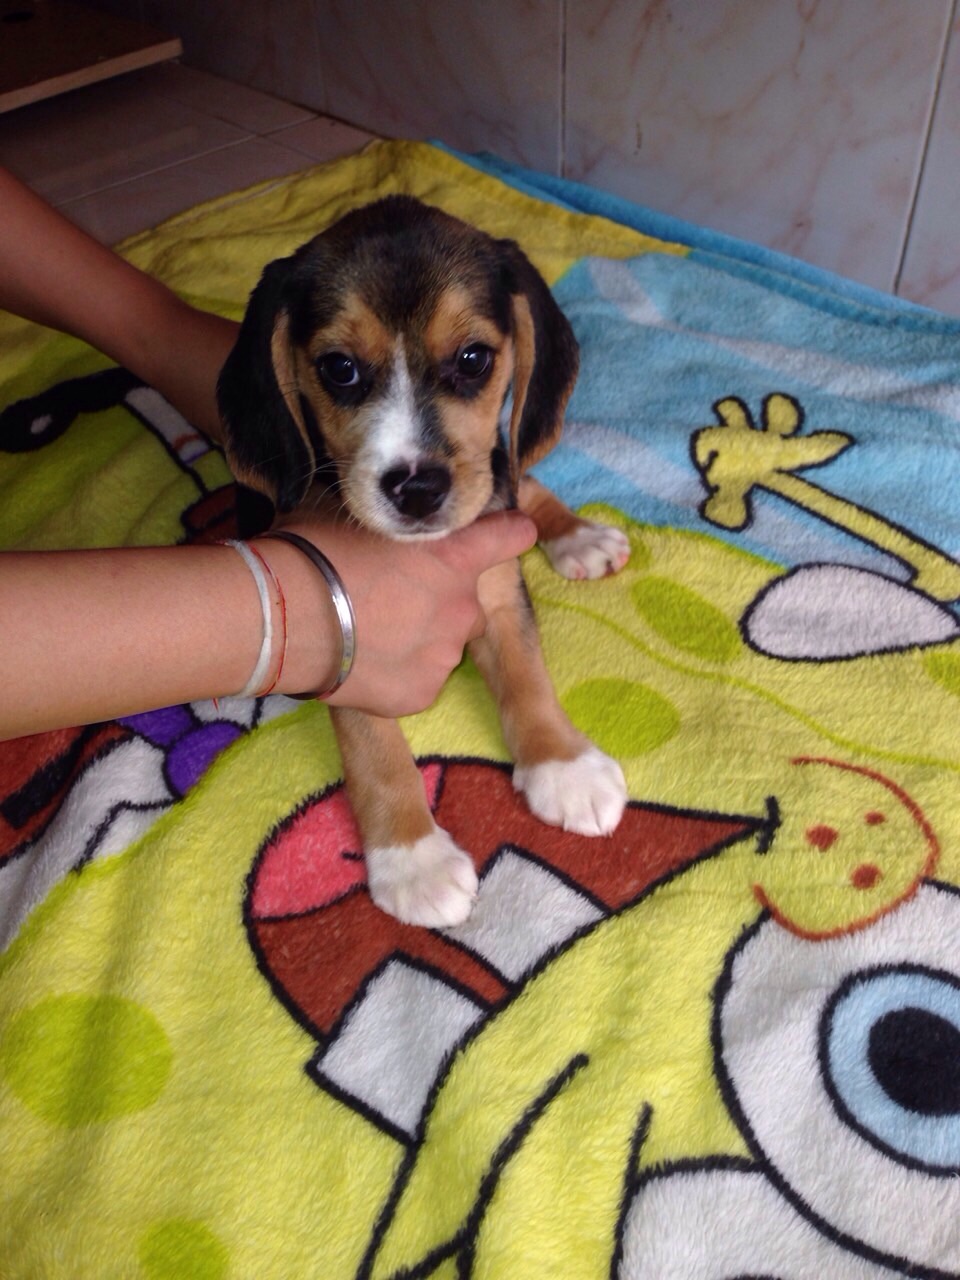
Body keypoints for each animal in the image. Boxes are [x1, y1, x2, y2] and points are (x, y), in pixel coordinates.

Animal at [217, 195, 630, 927]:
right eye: (339, 368)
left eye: (473, 358)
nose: (417, 489)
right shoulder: (352, 638)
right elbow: (376, 750)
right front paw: (412, 858)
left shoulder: (497, 584)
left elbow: (526, 674)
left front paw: (564, 765)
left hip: (499, 476)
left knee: (519, 477)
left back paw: (577, 536)